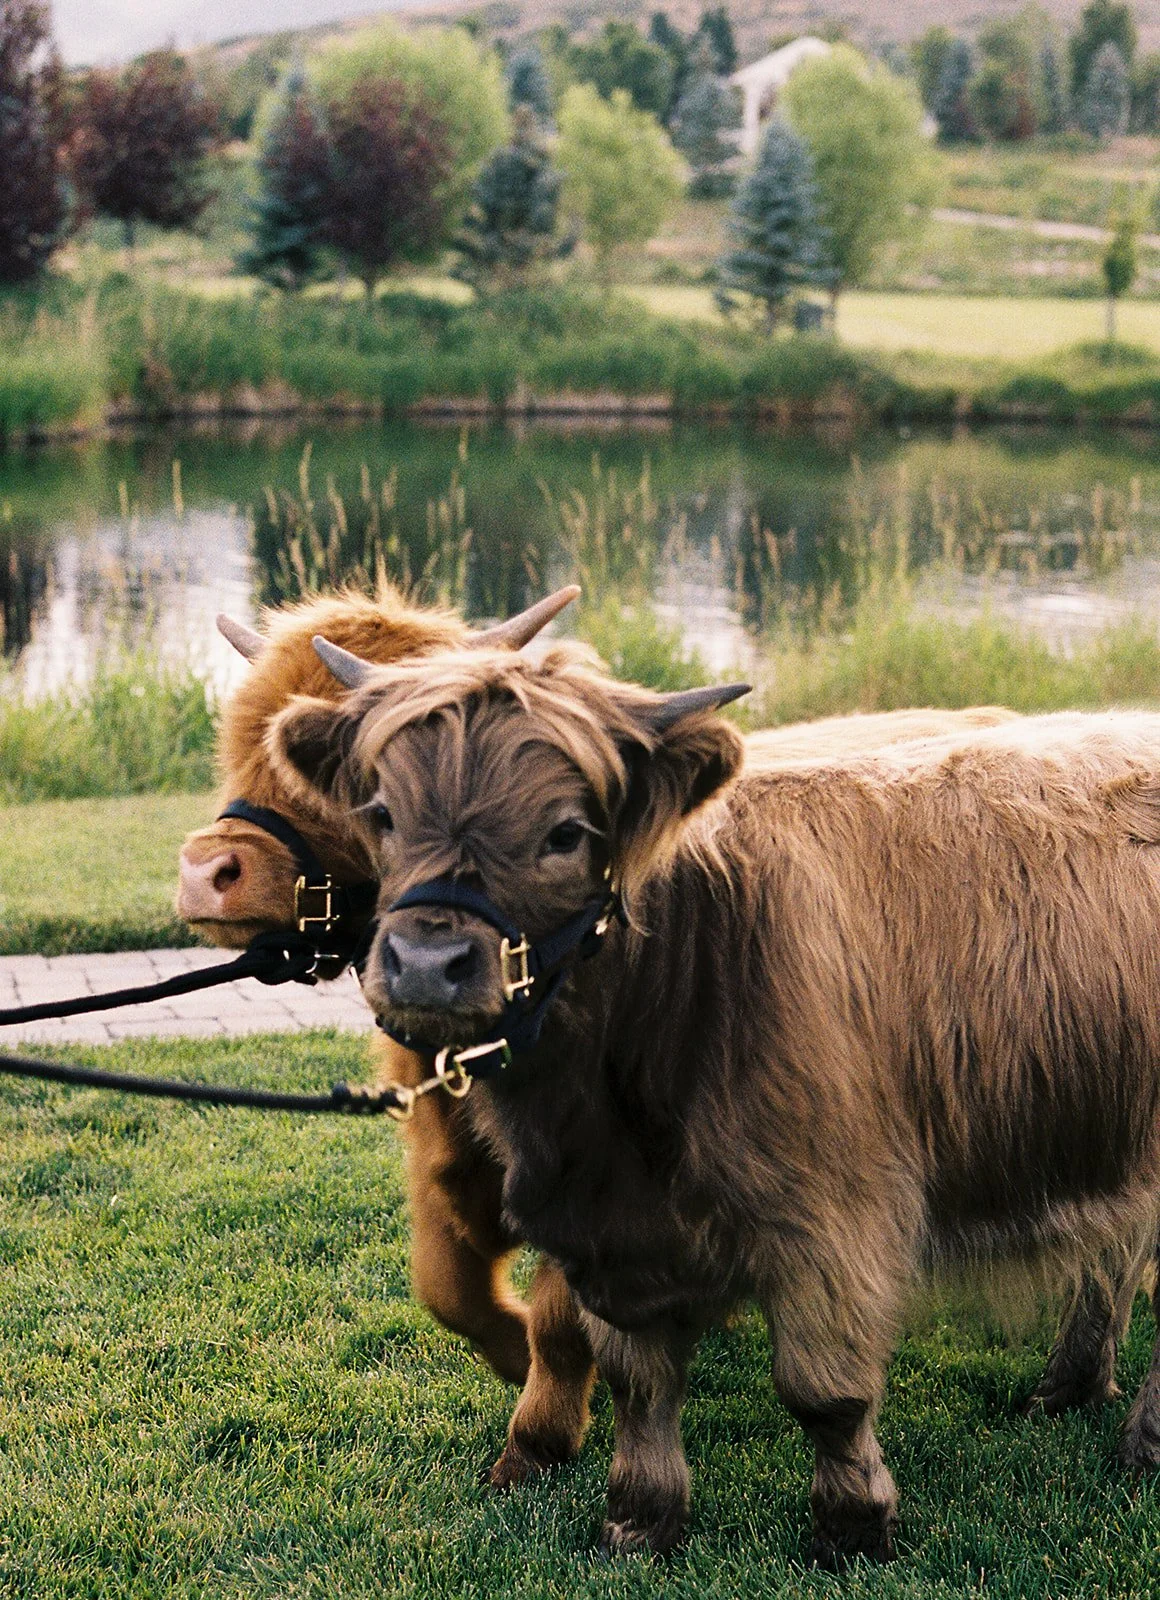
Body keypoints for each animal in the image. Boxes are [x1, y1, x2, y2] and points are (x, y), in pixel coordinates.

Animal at [270, 637, 1160, 1564]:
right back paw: (1068, 1388)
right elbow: (638, 1381)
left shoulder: (834, 1220)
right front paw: (639, 1520)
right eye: (382, 813)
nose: (423, 964)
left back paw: (1140, 1442)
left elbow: (824, 1393)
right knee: (1116, 1254)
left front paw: (853, 1529)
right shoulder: (614, 1238)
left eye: (565, 832)